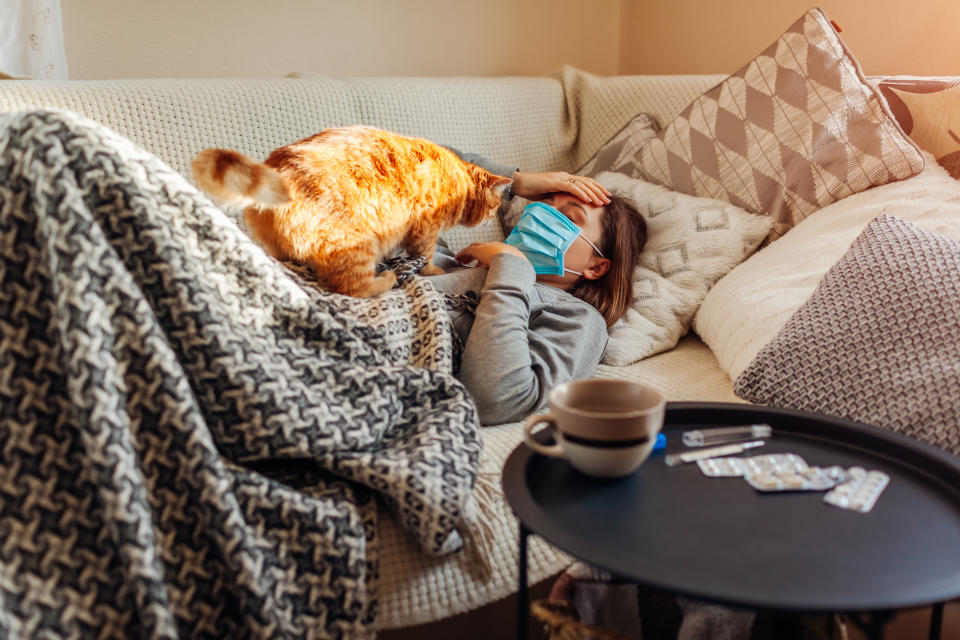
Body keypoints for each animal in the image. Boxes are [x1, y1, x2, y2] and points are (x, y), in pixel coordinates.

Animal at [191, 125, 512, 298]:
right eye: (495, 206)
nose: (490, 220)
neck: (458, 179)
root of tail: (278, 165)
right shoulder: (425, 231)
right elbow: (425, 257)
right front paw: (434, 271)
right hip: (355, 244)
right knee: (353, 287)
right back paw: (386, 279)